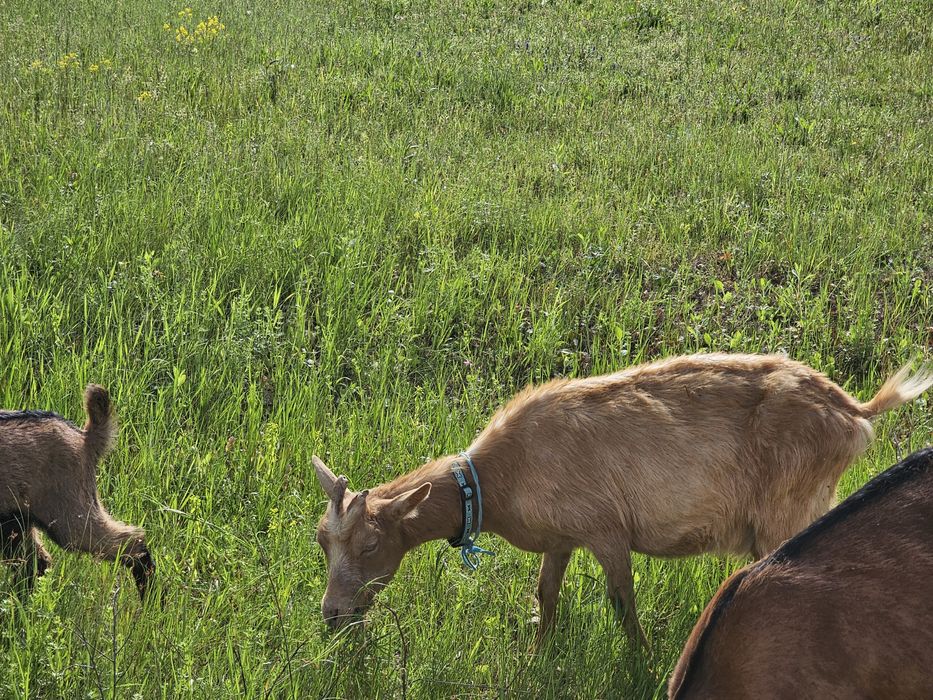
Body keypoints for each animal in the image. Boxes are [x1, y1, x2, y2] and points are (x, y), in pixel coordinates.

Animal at [312, 353, 933, 644]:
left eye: (369, 545)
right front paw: (539, 650)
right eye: (322, 541)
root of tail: (853, 411)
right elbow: (547, 595)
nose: (333, 615)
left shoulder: (606, 530)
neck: (495, 476)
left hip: (791, 509)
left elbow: (621, 602)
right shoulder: (559, 538)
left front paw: (641, 657)